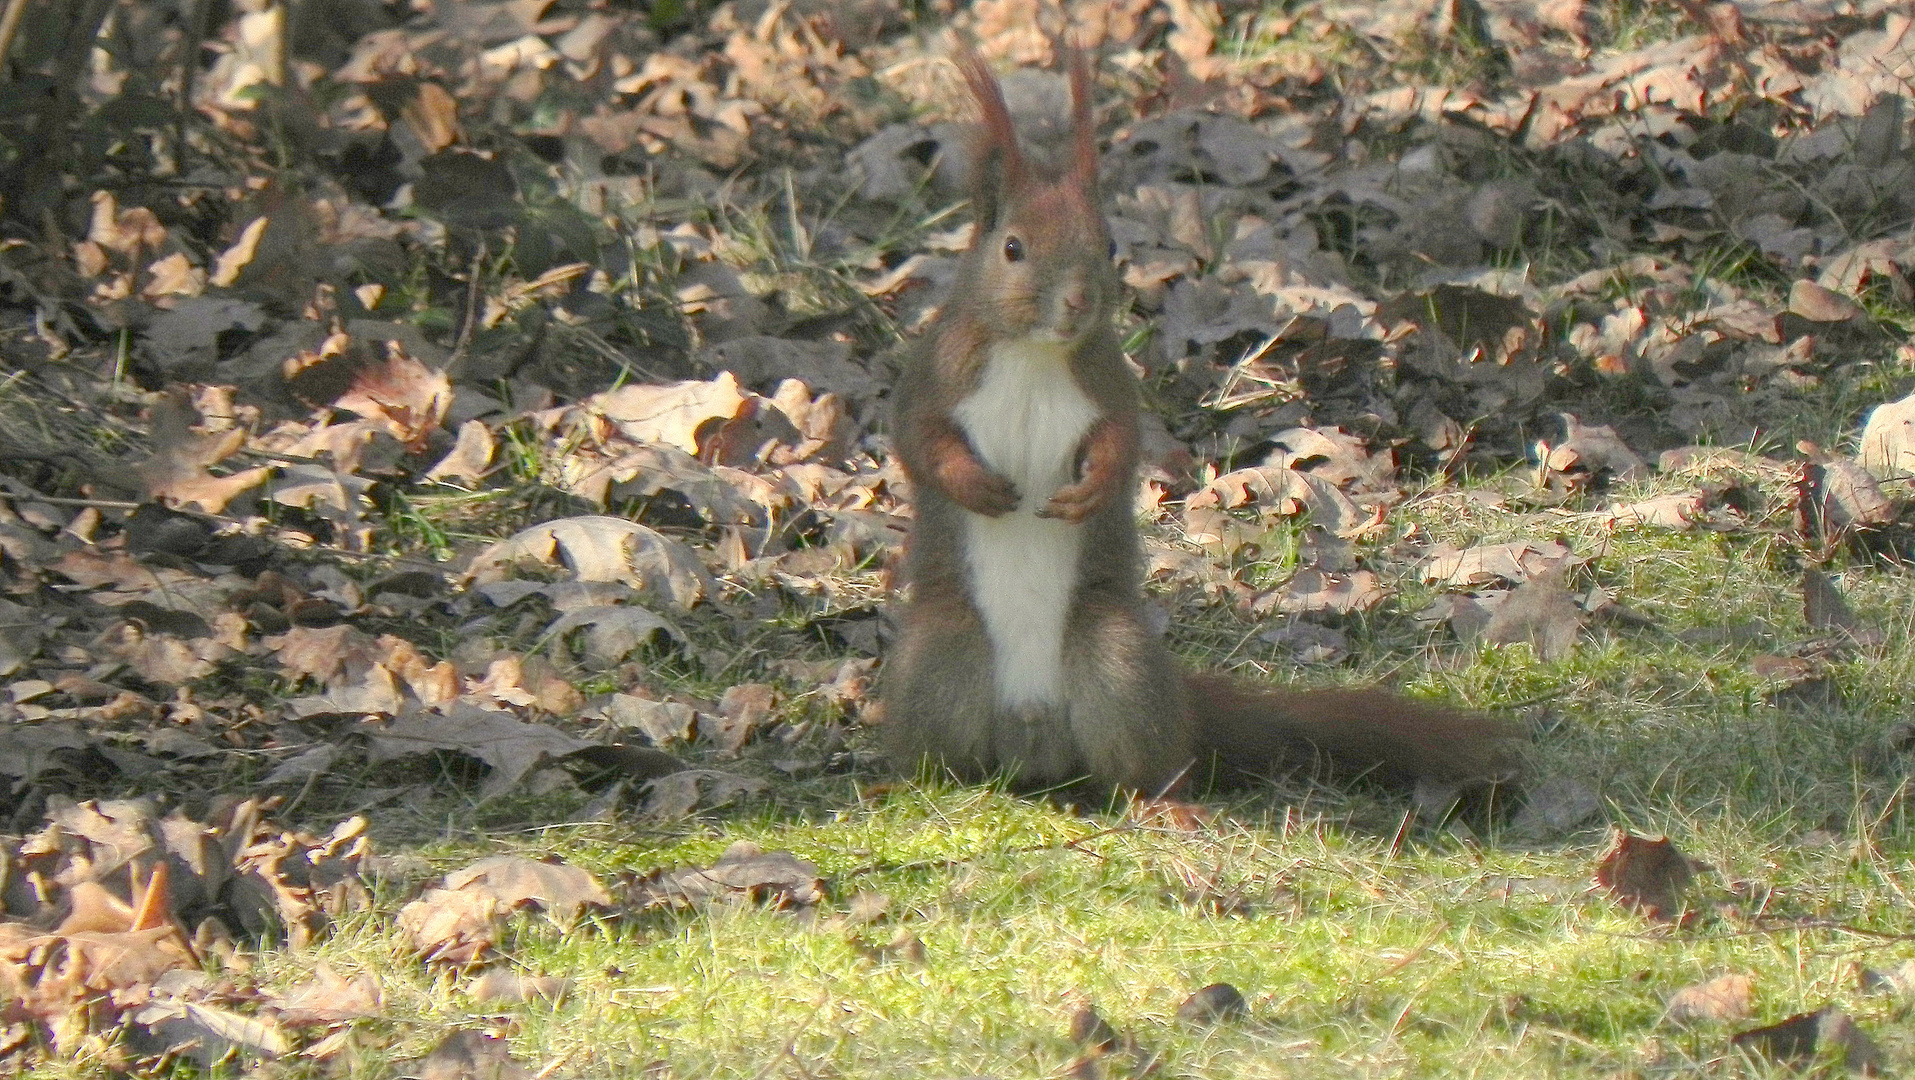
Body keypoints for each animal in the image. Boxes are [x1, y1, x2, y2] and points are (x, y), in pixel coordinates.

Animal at [880, 48, 1524, 792]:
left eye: (1107, 244)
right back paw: (907, 781)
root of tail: (1030, 742)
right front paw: (973, 483)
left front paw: (1092, 489)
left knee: (1141, 763)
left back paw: (1165, 801)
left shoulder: (1110, 387)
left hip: (1116, 660)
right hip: (943, 653)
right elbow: (917, 440)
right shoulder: (936, 374)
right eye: (1011, 248)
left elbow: (1123, 444)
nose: (1077, 301)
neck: (1034, 353)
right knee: (939, 749)